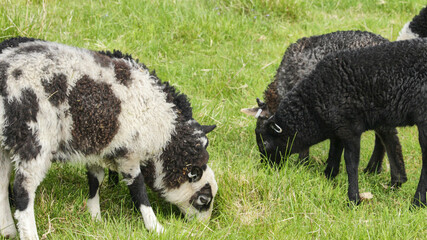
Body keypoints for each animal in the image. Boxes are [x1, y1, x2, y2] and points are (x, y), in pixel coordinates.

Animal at [0, 36, 219, 239]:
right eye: (203, 199)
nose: (202, 228)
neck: (164, 133)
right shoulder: (129, 152)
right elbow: (138, 190)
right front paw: (155, 227)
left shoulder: (99, 147)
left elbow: (95, 180)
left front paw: (95, 217)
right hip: (35, 140)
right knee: (23, 192)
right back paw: (28, 233)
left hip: (5, 146)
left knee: (2, 185)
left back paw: (8, 230)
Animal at [252, 38, 427, 205]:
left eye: (265, 143)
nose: (265, 169)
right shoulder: (337, 127)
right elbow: (335, 151)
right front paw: (328, 176)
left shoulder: (350, 128)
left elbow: (351, 163)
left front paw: (353, 199)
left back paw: (416, 201)